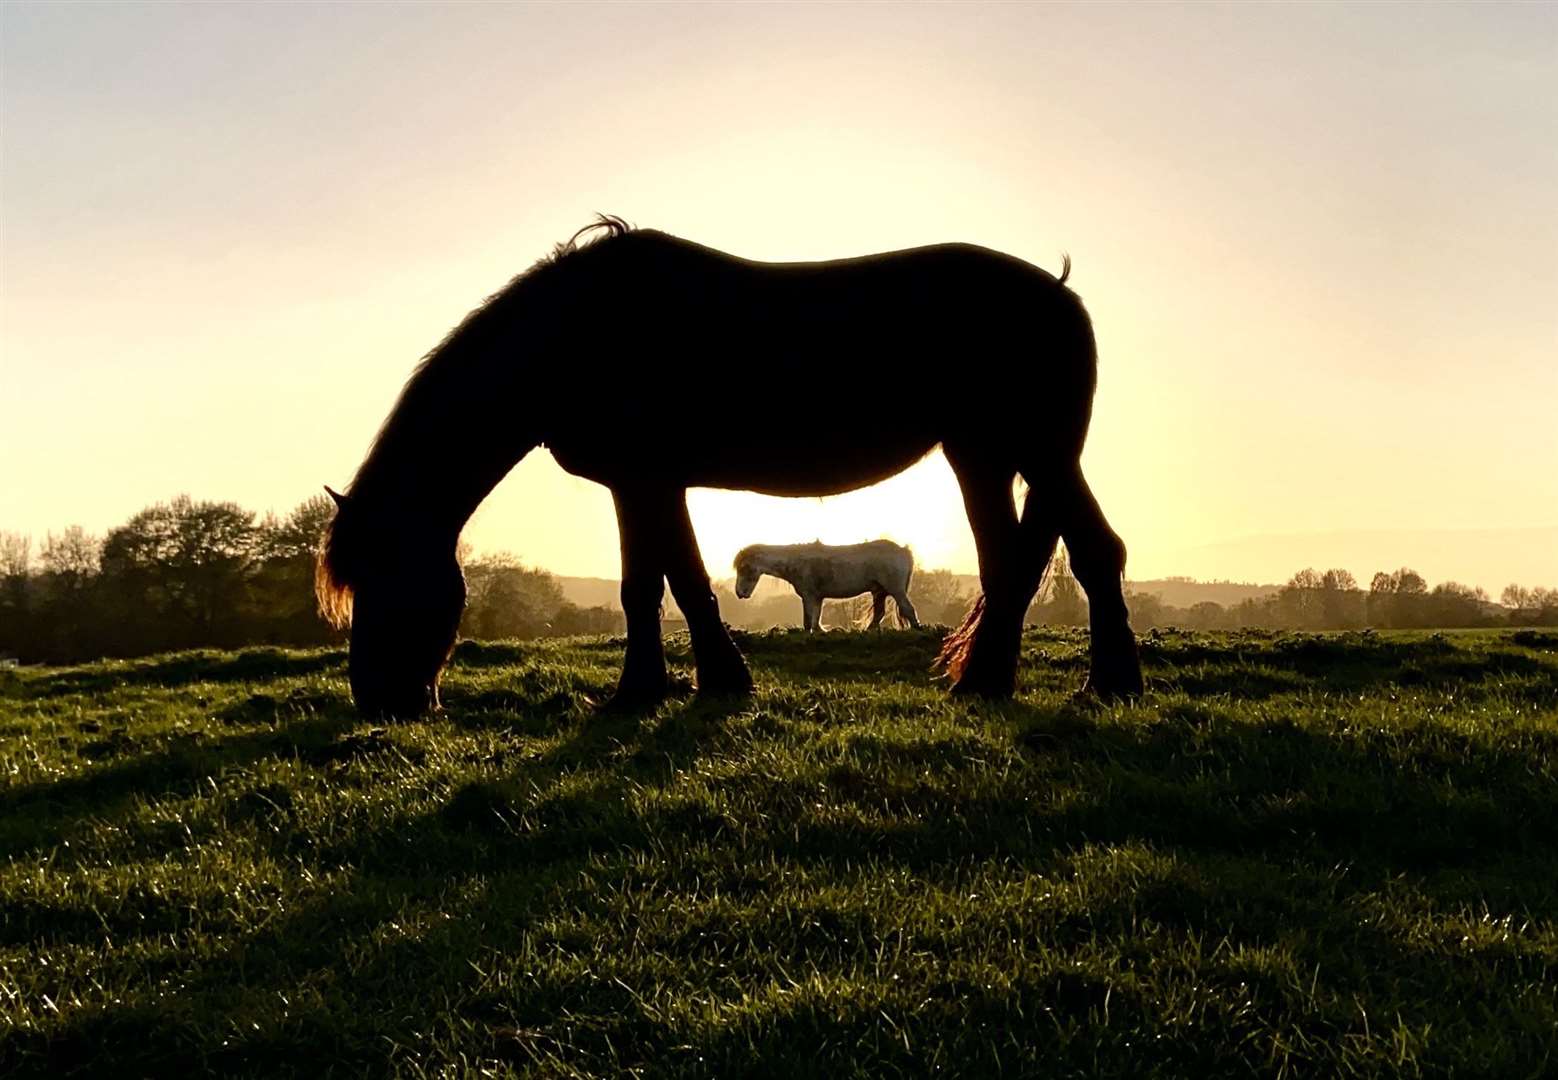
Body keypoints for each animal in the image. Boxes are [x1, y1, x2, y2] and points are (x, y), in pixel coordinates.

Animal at [732, 539, 916, 632]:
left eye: (743, 568)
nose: (740, 593)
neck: (795, 562)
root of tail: (903, 550)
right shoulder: (817, 597)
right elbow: (815, 620)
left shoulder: (808, 596)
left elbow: (808, 622)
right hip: (879, 592)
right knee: (879, 613)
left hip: (896, 590)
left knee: (907, 609)